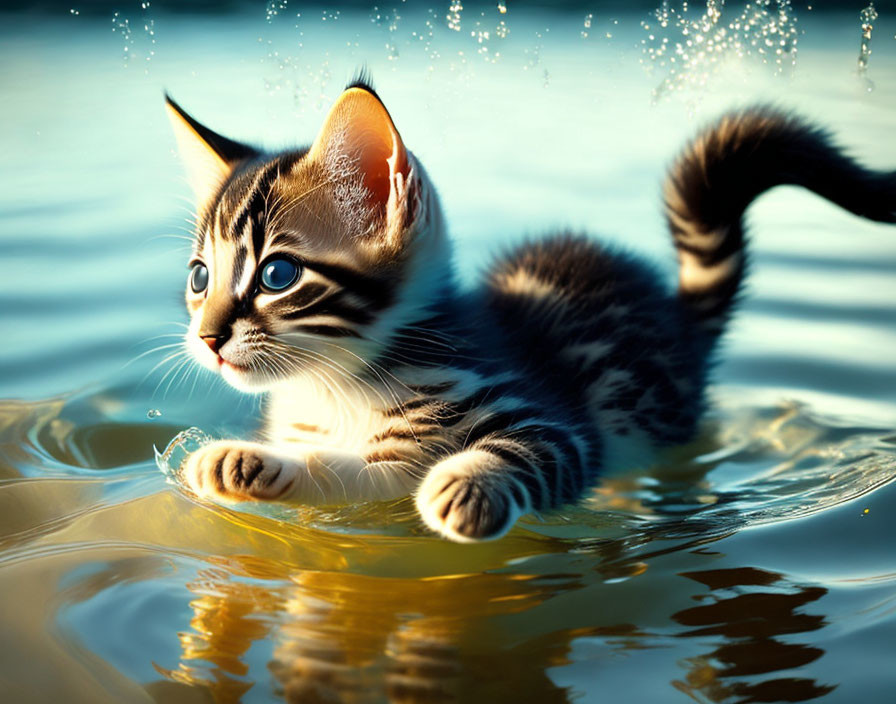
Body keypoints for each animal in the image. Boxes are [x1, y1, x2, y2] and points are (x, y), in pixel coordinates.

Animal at [168, 84, 896, 544]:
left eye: (277, 275)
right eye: (200, 277)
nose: (207, 338)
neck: (336, 385)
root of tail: (676, 312)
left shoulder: (547, 417)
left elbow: (527, 450)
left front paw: (467, 487)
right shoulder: (358, 456)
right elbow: (352, 472)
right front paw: (247, 464)